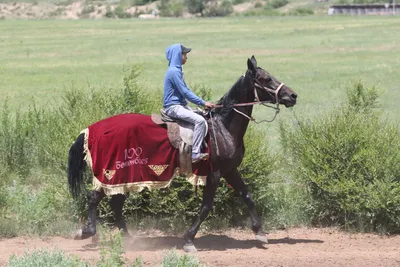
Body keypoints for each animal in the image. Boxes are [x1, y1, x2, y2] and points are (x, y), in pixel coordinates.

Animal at [67, 56, 296, 253]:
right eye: (265, 78)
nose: (293, 95)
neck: (222, 126)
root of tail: (93, 129)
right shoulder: (215, 173)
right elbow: (206, 207)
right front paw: (188, 240)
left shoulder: (230, 170)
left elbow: (247, 195)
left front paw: (260, 232)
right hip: (113, 173)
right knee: (95, 197)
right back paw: (87, 231)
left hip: (124, 176)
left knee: (115, 203)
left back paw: (127, 238)